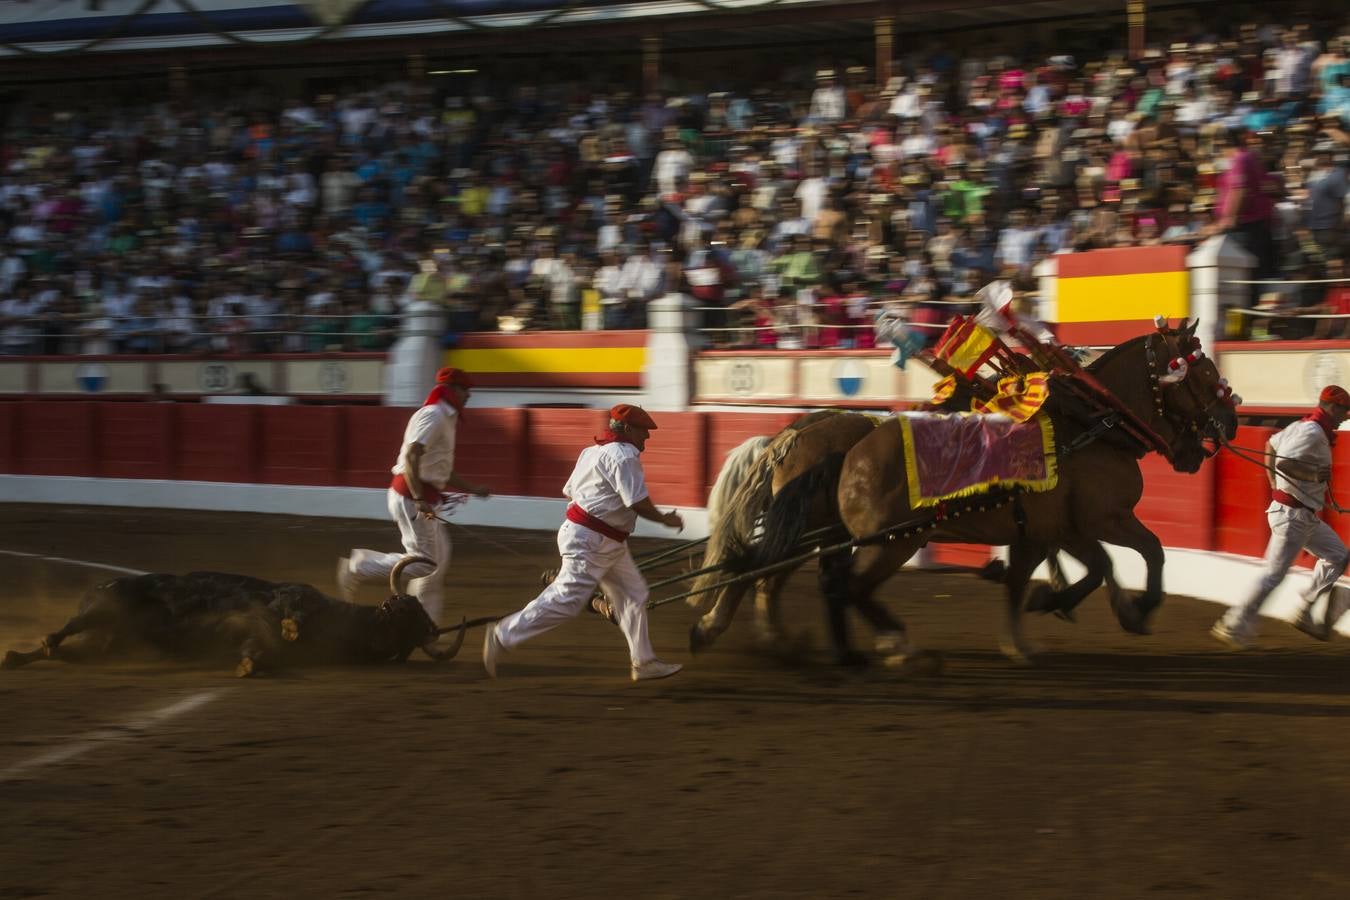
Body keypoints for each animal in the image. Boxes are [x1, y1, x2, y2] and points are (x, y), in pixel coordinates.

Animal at [750, 319, 1236, 666]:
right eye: (1206, 372)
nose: (1231, 420)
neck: (1092, 426)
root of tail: (850, 449)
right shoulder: (1102, 519)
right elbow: (1149, 552)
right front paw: (1136, 607)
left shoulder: (1053, 529)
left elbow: (1067, 573)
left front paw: (1036, 622)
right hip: (890, 541)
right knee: (845, 585)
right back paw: (895, 647)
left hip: (846, 537)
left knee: (822, 583)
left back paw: (824, 647)